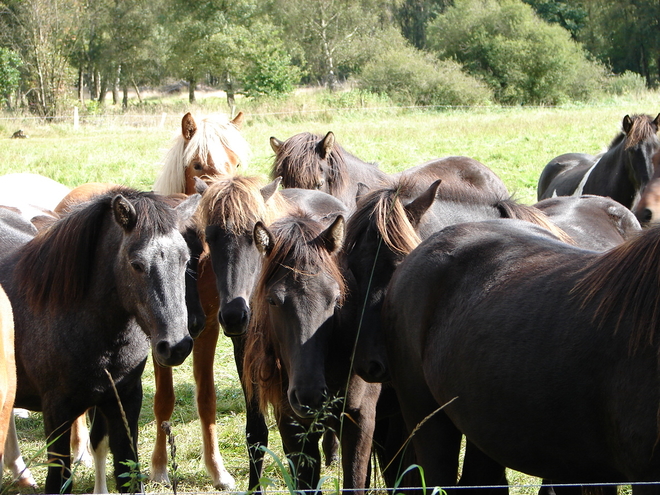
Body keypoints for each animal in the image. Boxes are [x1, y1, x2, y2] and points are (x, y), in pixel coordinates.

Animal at [0, 188, 200, 494]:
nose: (175, 346)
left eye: (185, 260)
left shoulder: (124, 402)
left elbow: (127, 475)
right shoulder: (56, 411)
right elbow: (59, 480)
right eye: (137, 264)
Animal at [151, 111, 249, 488]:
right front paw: (160, 468)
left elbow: (206, 398)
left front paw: (217, 470)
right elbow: (163, 400)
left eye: (236, 162)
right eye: (197, 165)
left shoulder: (208, 331)